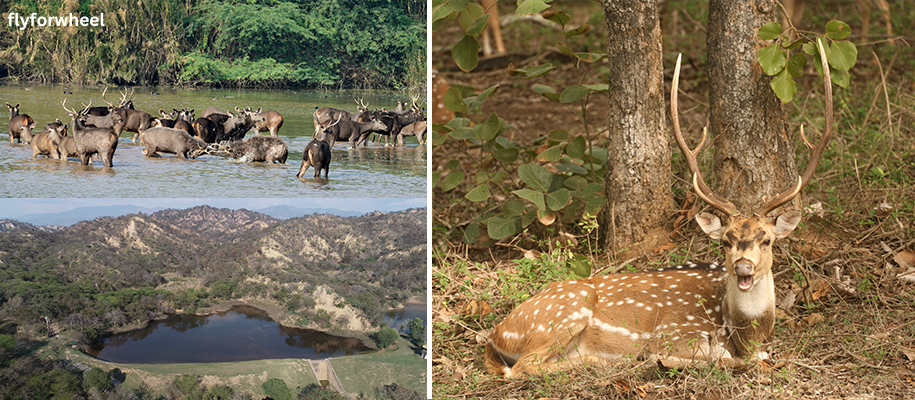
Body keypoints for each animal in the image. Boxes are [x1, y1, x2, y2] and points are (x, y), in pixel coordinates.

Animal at [484, 44, 832, 378]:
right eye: (725, 241)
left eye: (767, 240)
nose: (743, 267)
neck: (747, 337)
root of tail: (497, 333)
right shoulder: (674, 332)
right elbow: (715, 356)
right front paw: (661, 359)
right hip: (563, 312)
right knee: (522, 367)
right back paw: (605, 361)